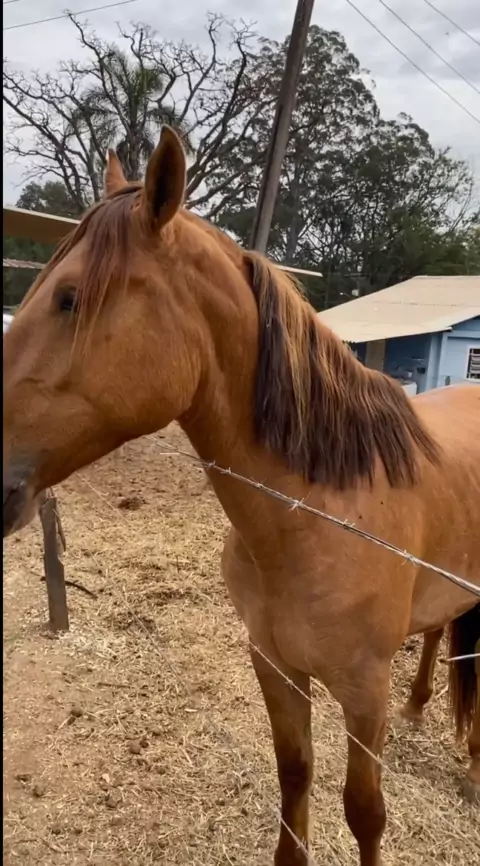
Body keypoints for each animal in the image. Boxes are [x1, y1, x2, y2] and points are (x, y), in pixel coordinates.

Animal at [3, 127, 479, 866]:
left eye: (69, 298)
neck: (322, 513)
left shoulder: (363, 692)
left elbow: (365, 812)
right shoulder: (275, 667)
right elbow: (295, 776)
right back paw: (422, 705)